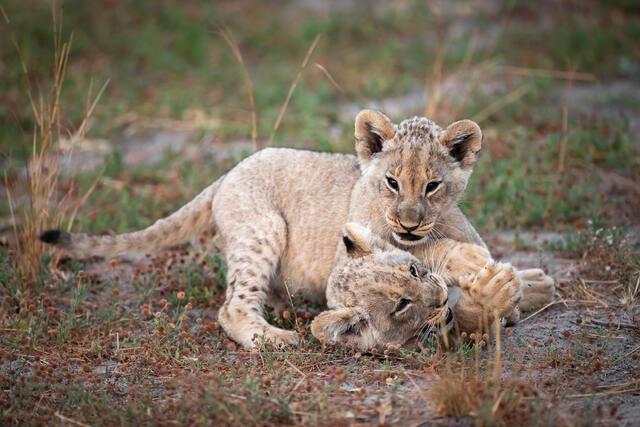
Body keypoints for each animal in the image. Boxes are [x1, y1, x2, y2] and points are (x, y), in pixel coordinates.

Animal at [39, 110, 553, 348]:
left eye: (432, 185)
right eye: (391, 183)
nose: (409, 223)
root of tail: (224, 175)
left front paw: (530, 283)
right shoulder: (363, 236)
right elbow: (433, 257)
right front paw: (477, 269)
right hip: (264, 228)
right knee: (232, 307)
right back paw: (278, 338)